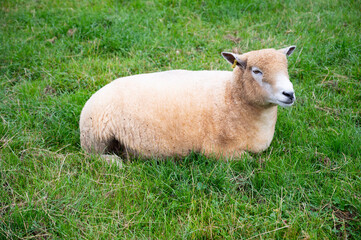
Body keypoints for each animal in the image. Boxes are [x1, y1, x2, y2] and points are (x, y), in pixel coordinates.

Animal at [79, 45, 296, 161]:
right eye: (256, 71)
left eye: (286, 67)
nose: (289, 93)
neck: (231, 96)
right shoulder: (216, 150)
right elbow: (248, 159)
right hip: (95, 137)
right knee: (93, 157)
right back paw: (115, 162)